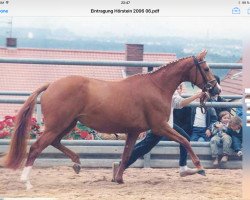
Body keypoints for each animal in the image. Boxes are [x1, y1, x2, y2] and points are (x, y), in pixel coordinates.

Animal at [2, 50, 220, 189]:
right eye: (206, 68)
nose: (216, 90)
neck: (156, 87)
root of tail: (52, 85)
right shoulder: (159, 127)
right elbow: (184, 140)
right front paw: (200, 167)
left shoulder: (133, 131)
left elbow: (126, 154)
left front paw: (119, 179)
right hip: (57, 125)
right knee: (36, 147)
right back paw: (26, 181)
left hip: (67, 124)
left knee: (54, 142)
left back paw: (77, 163)